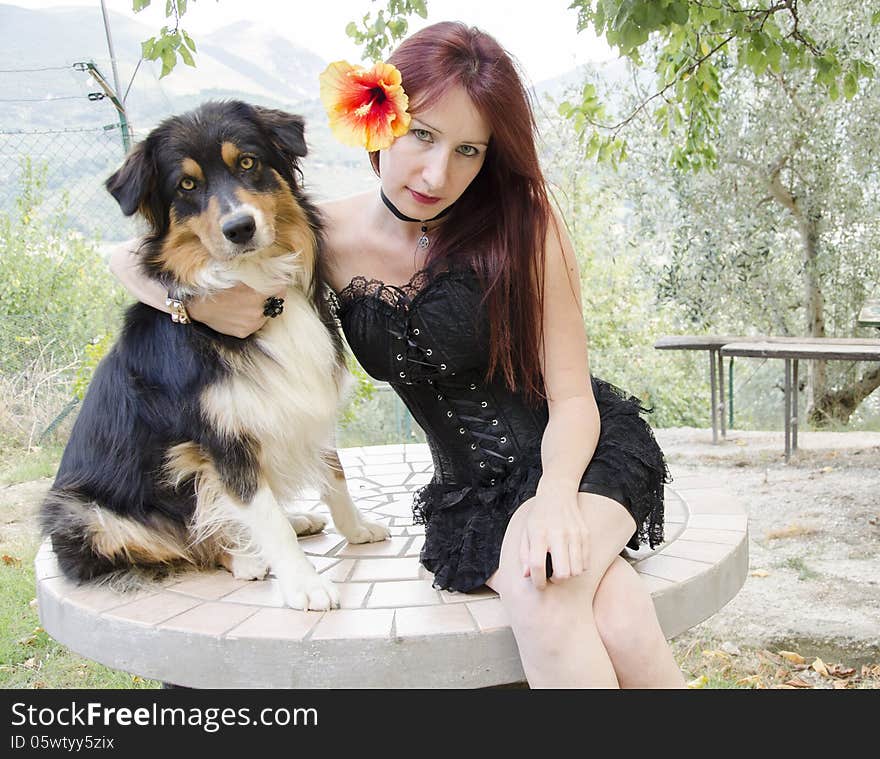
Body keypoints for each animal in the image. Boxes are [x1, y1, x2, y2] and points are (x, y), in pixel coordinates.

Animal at [38, 99, 388, 612]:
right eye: (186, 185)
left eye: (247, 162)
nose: (239, 228)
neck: (262, 290)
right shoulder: (219, 440)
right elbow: (263, 515)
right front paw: (303, 584)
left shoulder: (307, 398)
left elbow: (334, 473)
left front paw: (356, 528)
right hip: (81, 512)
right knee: (184, 543)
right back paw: (243, 558)